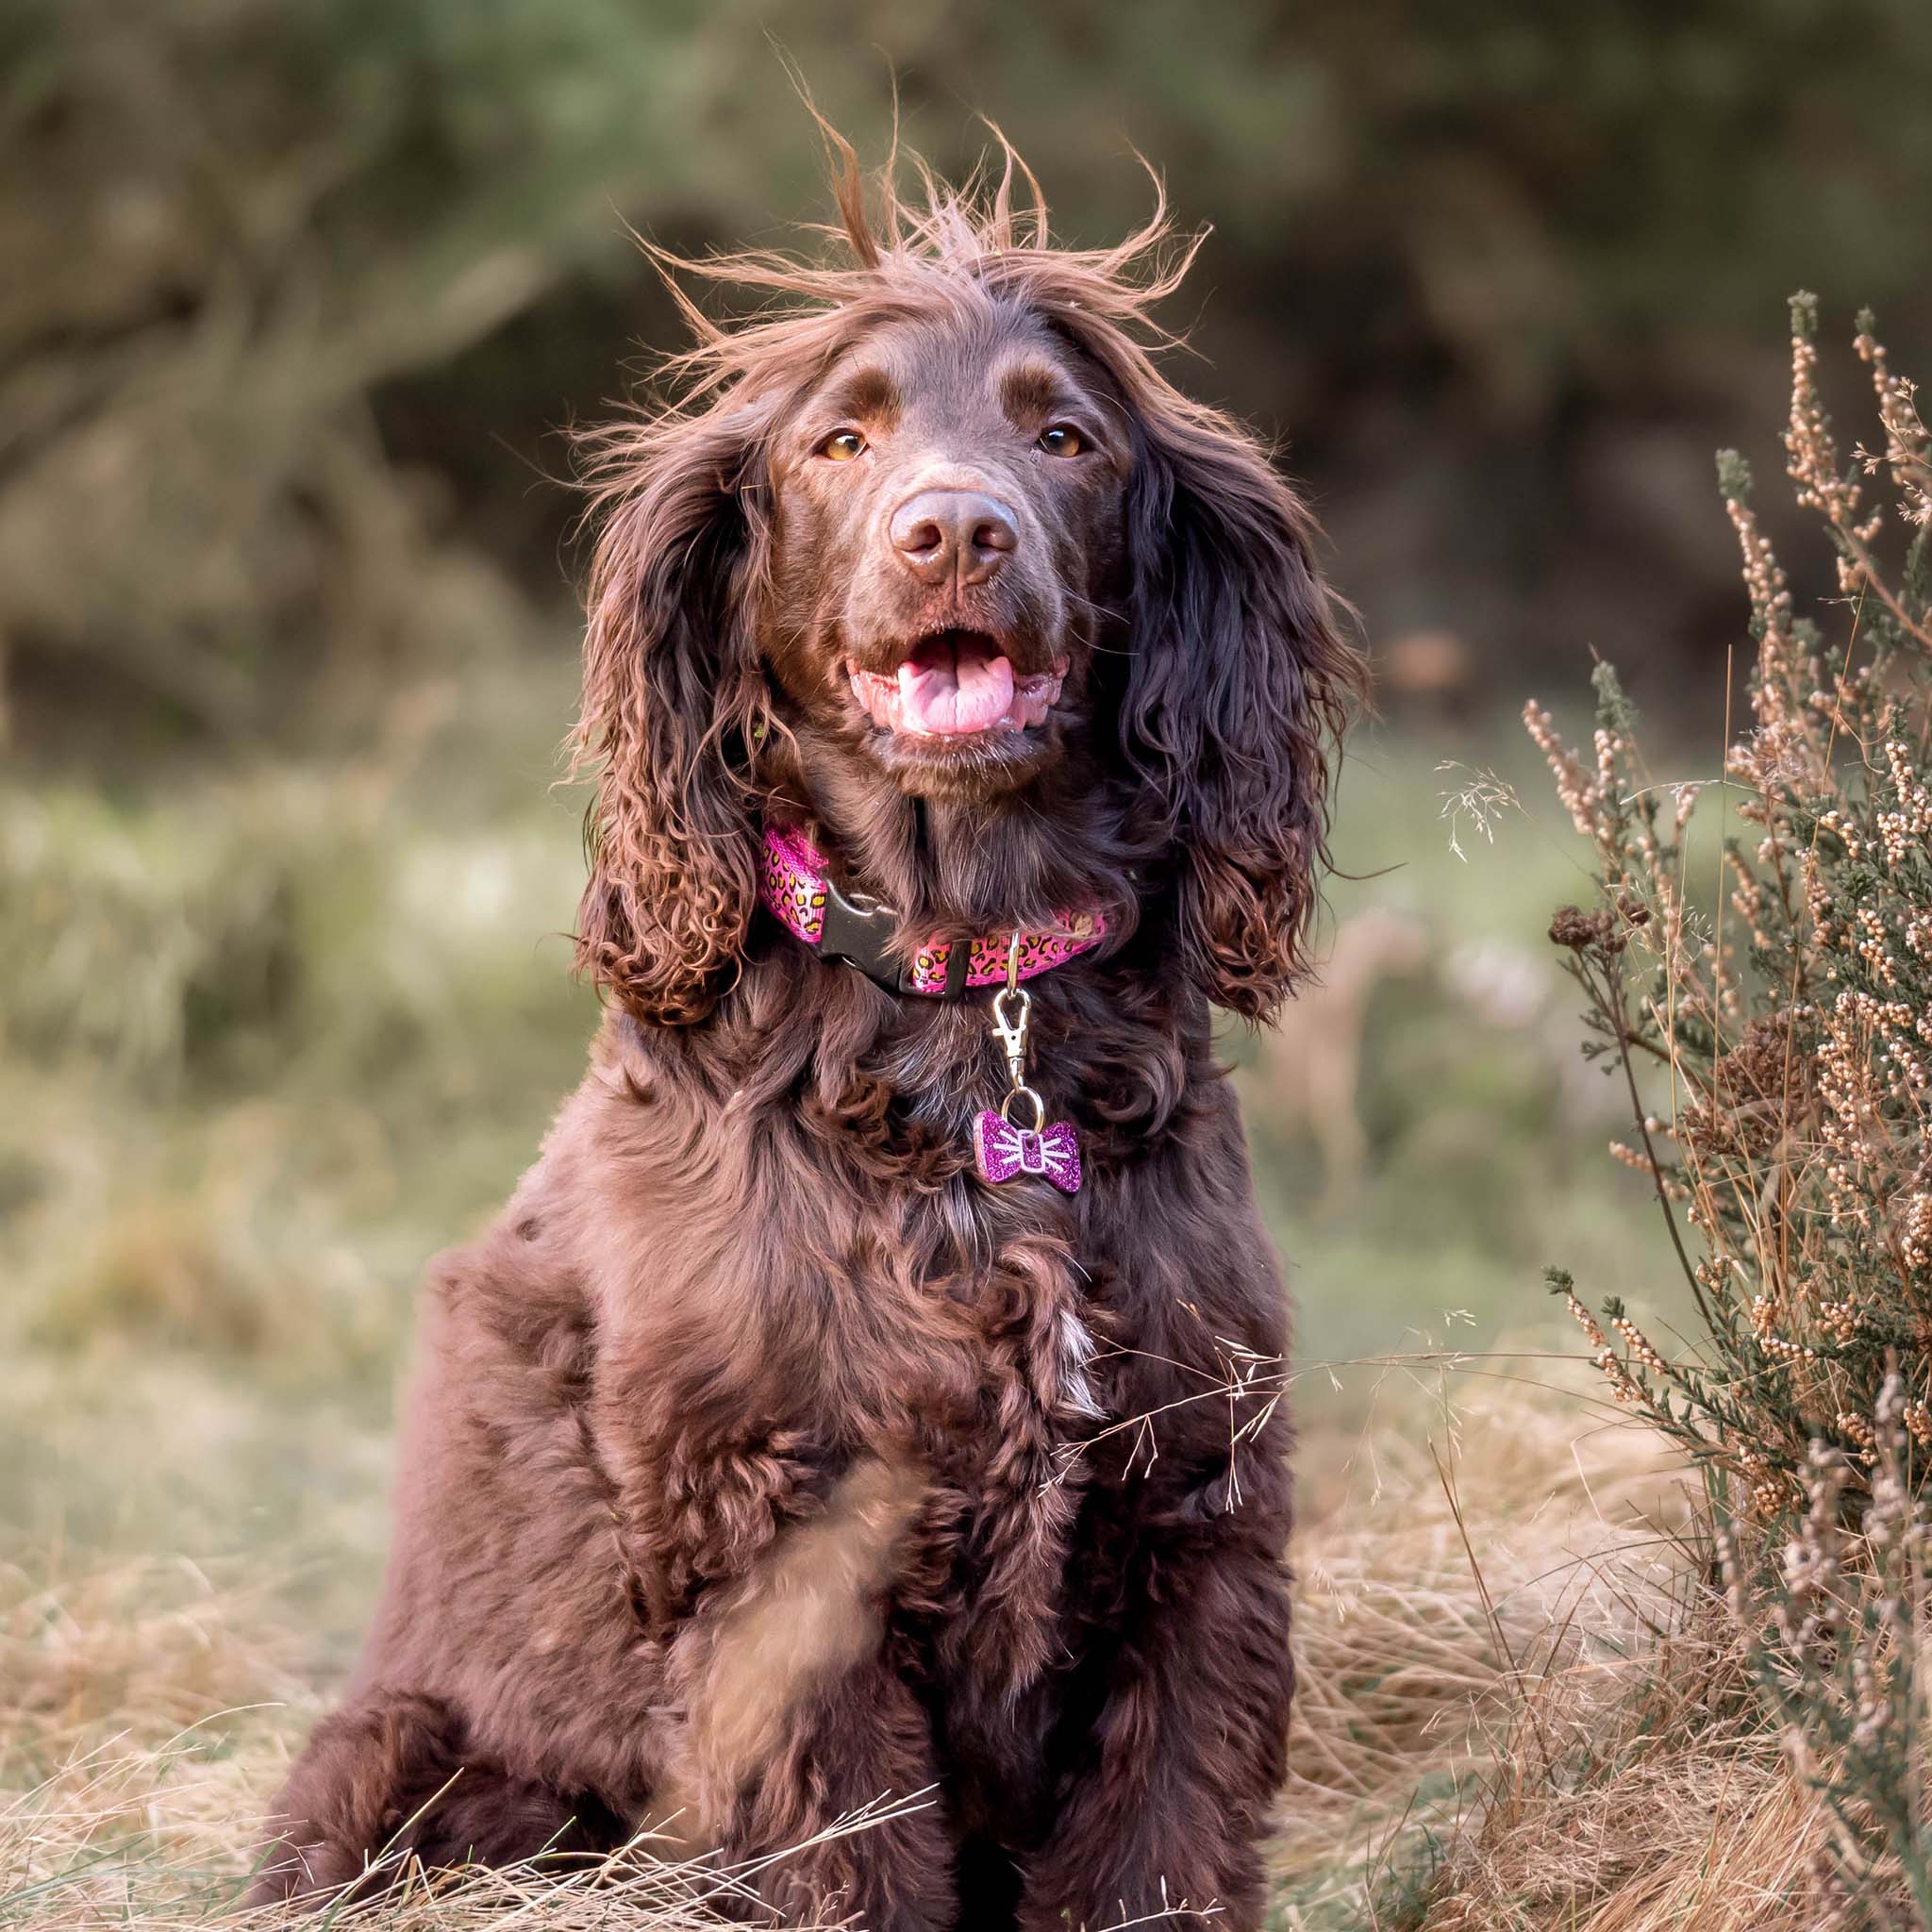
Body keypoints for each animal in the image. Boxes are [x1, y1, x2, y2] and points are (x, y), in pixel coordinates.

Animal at [257, 140, 1359, 1932]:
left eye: (1065, 438)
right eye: (841, 442)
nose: (954, 530)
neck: (966, 1006)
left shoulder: (1191, 1523)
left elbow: (1161, 1853)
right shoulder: (781, 1557)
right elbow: (846, 1864)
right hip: (395, 1755)